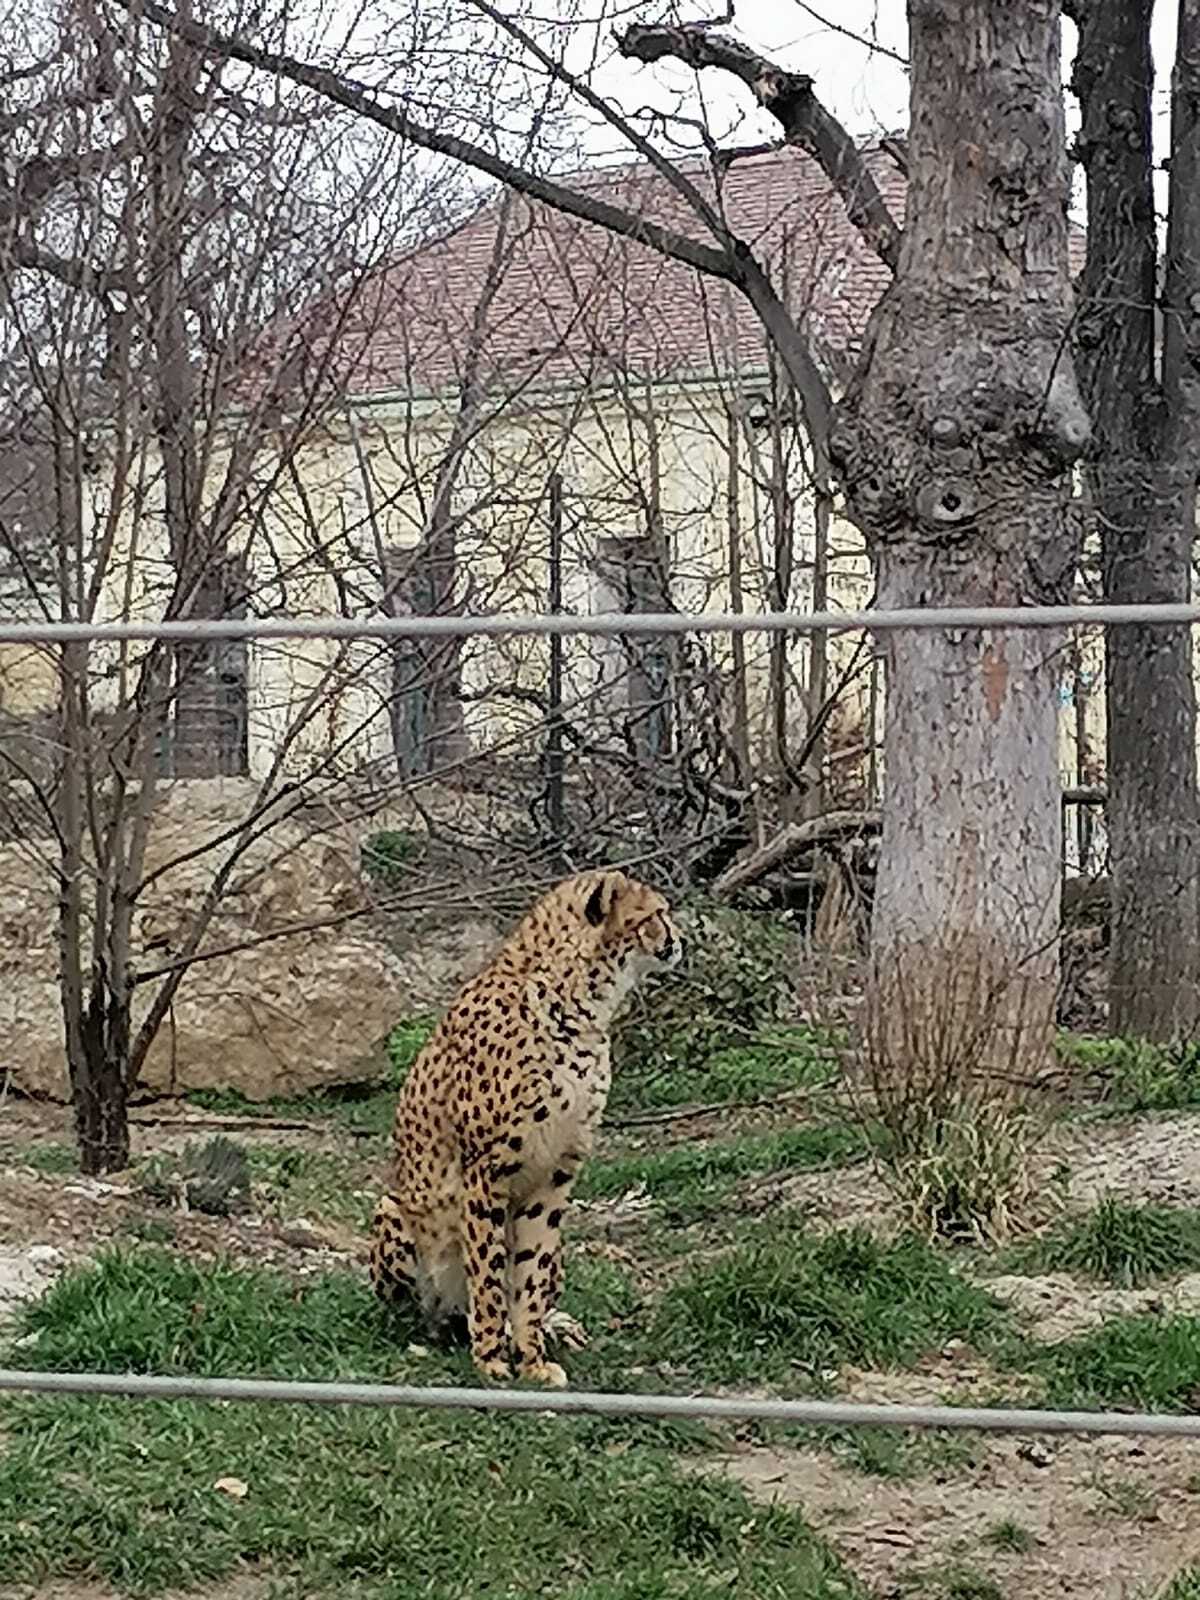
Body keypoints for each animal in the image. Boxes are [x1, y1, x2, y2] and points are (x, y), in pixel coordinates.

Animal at [366, 870, 684, 1382]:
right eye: (654, 915)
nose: (679, 939)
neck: (578, 1001)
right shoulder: (486, 1170)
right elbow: (489, 1269)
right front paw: (492, 1358)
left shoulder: (557, 1171)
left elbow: (530, 1271)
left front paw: (531, 1356)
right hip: (394, 1211)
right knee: (428, 1305)